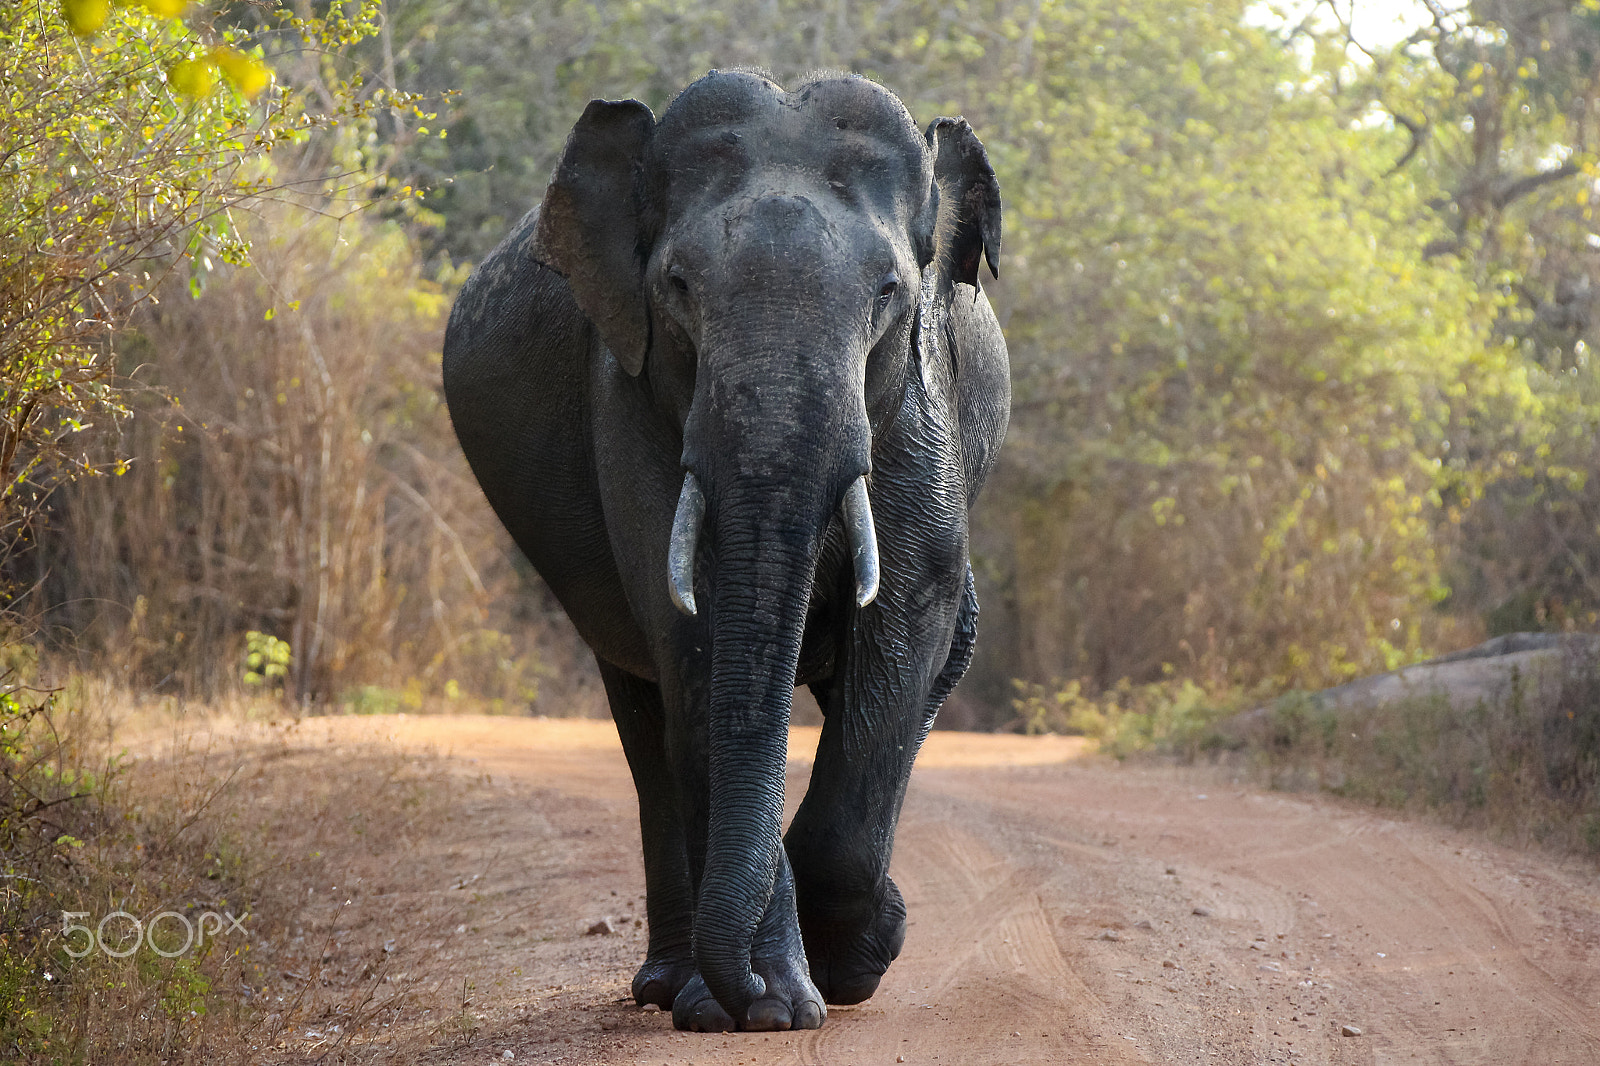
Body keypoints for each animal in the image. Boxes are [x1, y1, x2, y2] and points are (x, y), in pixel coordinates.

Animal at [442, 69, 1008, 1032]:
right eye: (675, 284)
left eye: (888, 290)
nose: (749, 984)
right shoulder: (627, 388)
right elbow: (695, 637)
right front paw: (769, 1005)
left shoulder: (918, 401)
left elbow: (909, 617)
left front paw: (849, 966)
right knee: (649, 723)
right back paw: (678, 990)